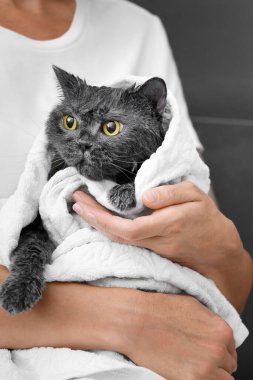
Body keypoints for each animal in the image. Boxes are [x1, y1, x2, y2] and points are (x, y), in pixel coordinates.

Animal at [0, 66, 170, 314]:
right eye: (70, 121)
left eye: (111, 127)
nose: (82, 144)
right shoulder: (37, 221)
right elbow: (29, 249)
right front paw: (18, 290)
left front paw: (124, 192)